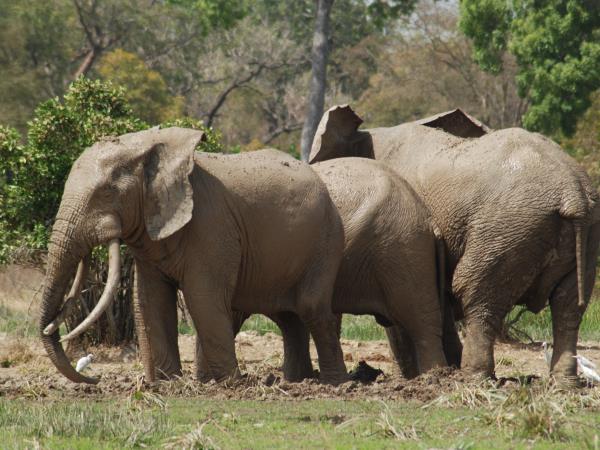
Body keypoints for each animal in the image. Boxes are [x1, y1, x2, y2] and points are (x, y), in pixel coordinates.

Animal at [37, 127, 346, 386]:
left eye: (106, 193)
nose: (95, 379)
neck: (145, 145)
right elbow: (150, 300)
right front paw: (166, 384)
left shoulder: (211, 227)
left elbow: (203, 298)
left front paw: (229, 385)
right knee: (287, 317)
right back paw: (297, 381)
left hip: (326, 242)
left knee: (311, 308)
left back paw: (334, 383)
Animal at [195, 156, 448, 382]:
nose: (202, 380)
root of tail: (427, 218)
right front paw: (298, 380)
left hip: (402, 252)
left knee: (418, 317)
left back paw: (433, 377)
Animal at [308, 105, 596, 384]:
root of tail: (573, 192)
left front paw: (414, 377)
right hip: (584, 234)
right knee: (568, 307)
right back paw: (564, 383)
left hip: (506, 229)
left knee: (476, 293)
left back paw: (473, 378)